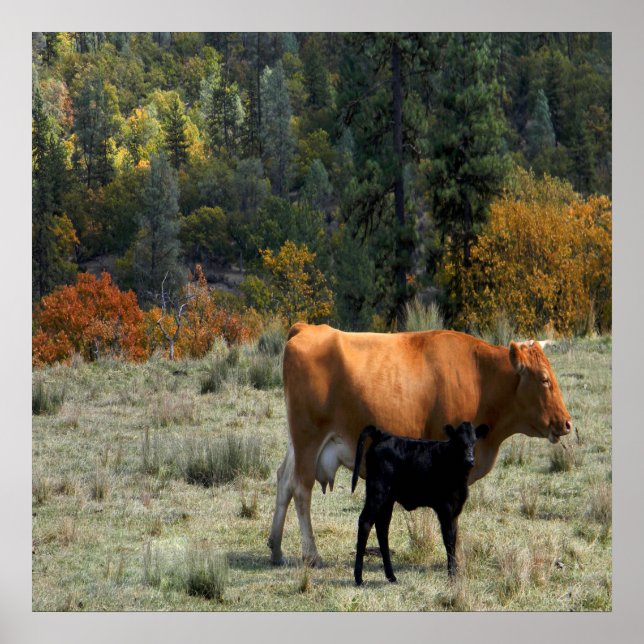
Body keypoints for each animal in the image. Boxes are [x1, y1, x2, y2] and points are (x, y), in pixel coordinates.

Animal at [267, 323, 571, 566]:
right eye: (544, 379)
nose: (567, 423)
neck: (480, 377)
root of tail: (307, 328)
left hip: (298, 444)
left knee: (284, 481)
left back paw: (276, 549)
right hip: (308, 440)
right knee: (300, 490)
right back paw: (311, 554)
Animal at [352, 422, 489, 585]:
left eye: (474, 441)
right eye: (459, 441)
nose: (470, 460)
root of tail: (382, 435)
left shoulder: (456, 511)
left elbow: (454, 540)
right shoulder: (445, 509)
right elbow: (448, 541)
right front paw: (452, 577)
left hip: (387, 499)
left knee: (382, 529)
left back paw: (391, 576)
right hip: (377, 492)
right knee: (365, 522)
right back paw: (359, 577)